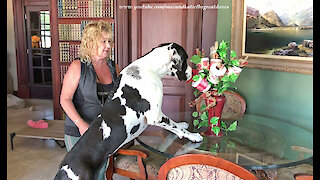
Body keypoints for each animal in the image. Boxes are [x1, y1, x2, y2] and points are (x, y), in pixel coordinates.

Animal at [52, 43, 202, 179]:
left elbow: (176, 124)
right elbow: (174, 125)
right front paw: (193, 136)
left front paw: (183, 124)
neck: (149, 68)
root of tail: (62, 171)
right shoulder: (156, 116)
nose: (192, 73)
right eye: (186, 59)